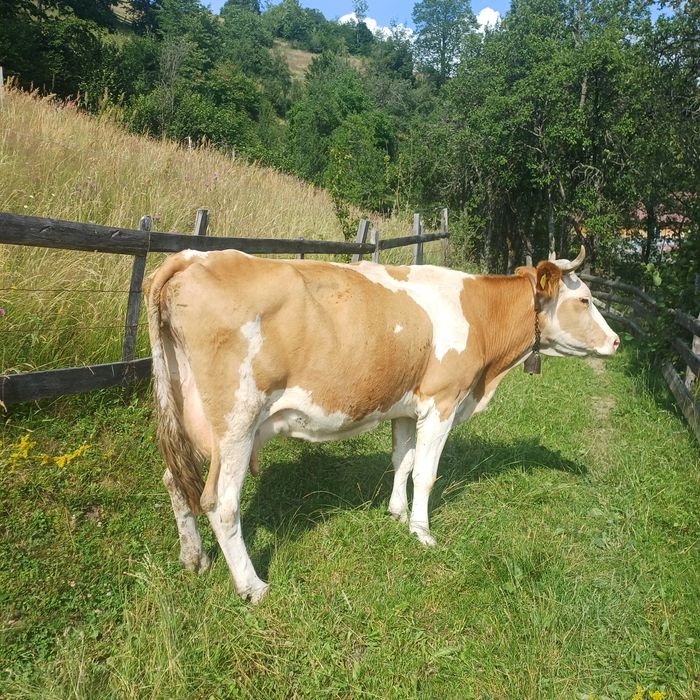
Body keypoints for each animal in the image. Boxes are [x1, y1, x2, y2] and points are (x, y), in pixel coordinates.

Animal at [143, 245, 619, 603]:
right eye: (584, 299)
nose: (615, 341)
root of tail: (194, 256)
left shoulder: (406, 408)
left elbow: (402, 462)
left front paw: (396, 513)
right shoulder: (442, 401)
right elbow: (426, 473)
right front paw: (422, 532)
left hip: (184, 409)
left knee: (175, 480)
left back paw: (194, 558)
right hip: (236, 422)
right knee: (221, 503)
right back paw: (252, 586)